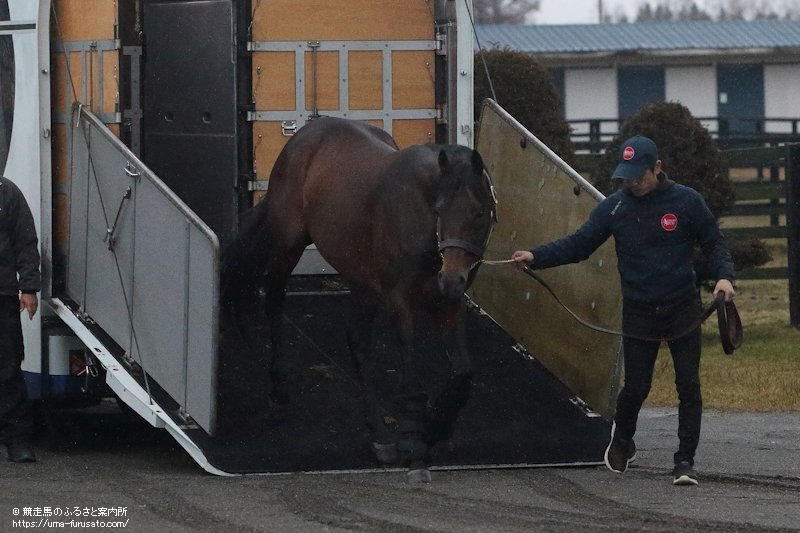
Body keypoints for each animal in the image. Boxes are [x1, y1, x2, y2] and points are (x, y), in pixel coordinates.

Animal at [221, 117, 496, 480]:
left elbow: (463, 373)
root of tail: (307, 134)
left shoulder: (447, 304)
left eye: (480, 212)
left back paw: (379, 435)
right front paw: (415, 448)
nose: (451, 279)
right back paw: (279, 394)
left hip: (362, 281)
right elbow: (411, 383)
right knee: (276, 302)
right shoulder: (401, 302)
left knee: (358, 343)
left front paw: (437, 428)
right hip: (288, 245)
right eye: (439, 210)